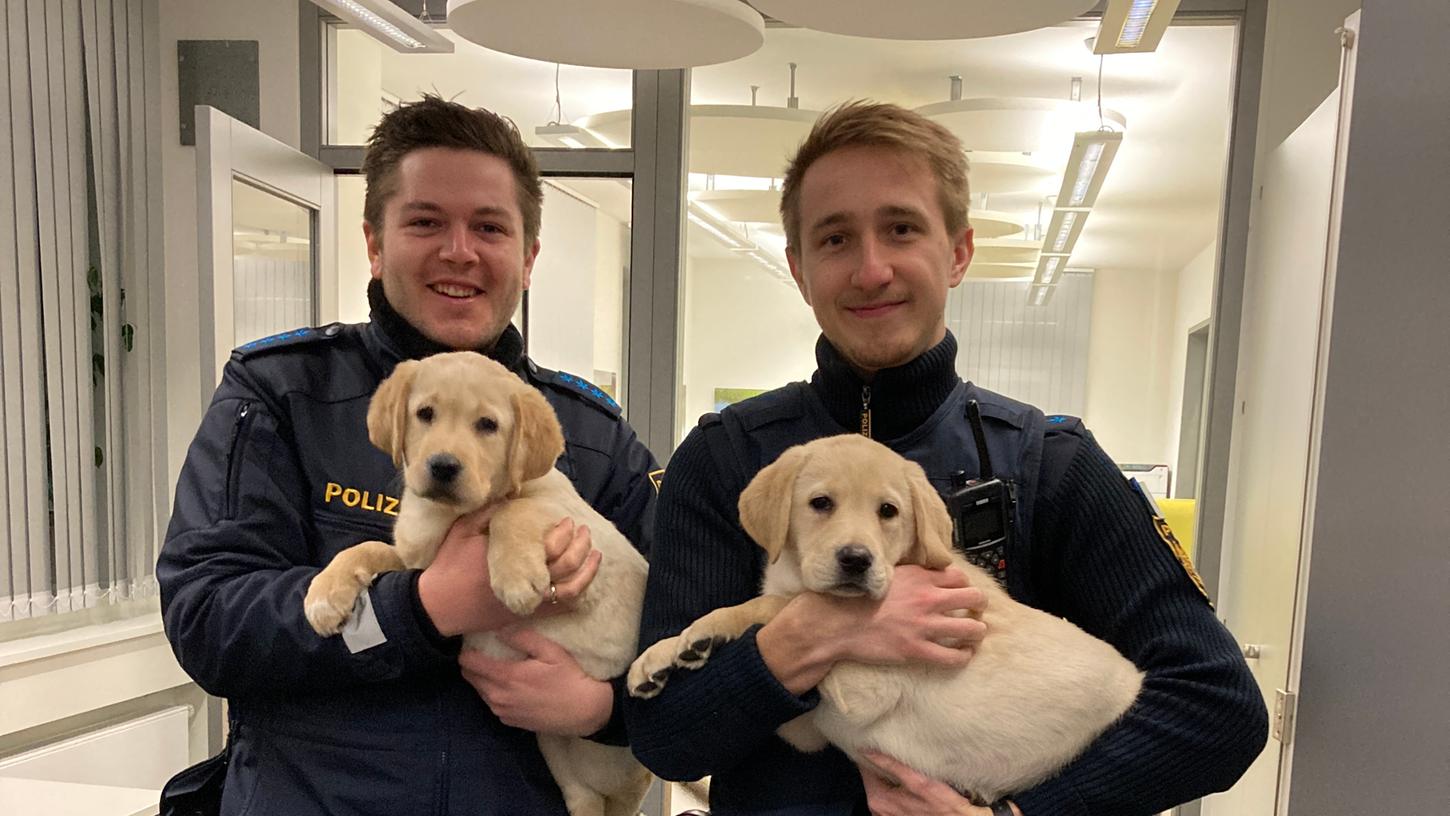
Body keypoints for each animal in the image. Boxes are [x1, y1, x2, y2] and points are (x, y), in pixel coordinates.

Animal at [305, 355, 652, 816]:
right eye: (425, 414)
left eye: (488, 425)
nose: (442, 466)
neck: (446, 516)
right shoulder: (419, 564)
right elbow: (367, 547)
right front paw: (325, 594)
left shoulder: (593, 546)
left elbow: (514, 509)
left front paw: (516, 578)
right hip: (556, 750)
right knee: (583, 797)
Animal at [632, 434, 1142, 805]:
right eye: (821, 503)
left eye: (888, 512)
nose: (856, 560)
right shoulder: (806, 729)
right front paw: (658, 657)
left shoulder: (861, 688)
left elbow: (776, 606)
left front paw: (706, 630)